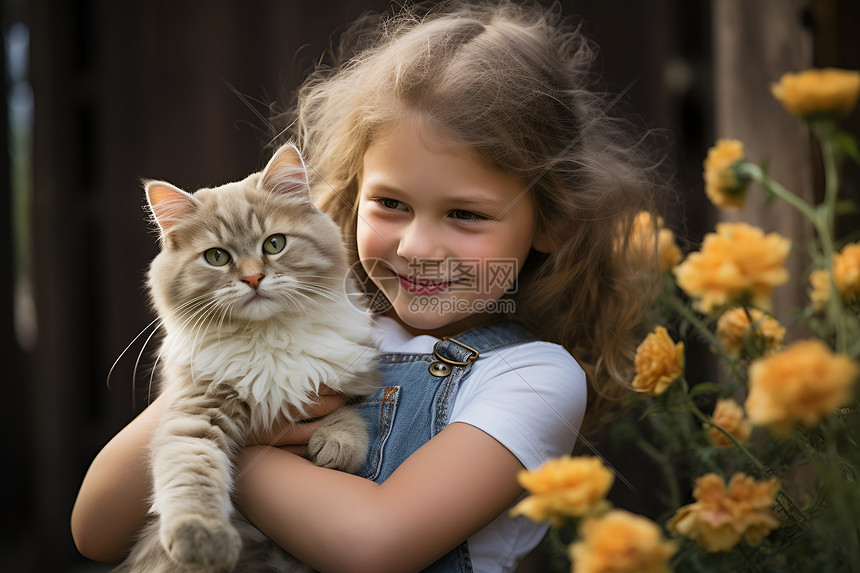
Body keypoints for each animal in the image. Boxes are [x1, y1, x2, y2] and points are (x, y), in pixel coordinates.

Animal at [113, 144, 380, 572]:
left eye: (274, 244)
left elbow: (351, 412)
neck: (268, 336)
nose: (253, 279)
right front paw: (201, 537)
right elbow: (192, 473)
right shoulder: (197, 410)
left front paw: (338, 443)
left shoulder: (348, 377)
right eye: (216, 256)